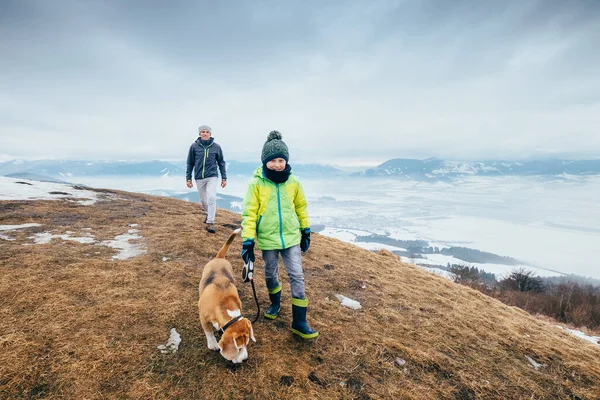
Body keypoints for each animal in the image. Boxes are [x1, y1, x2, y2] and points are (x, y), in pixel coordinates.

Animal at [199, 228, 255, 362]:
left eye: (247, 344)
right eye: (238, 348)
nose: (245, 360)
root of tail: (219, 258)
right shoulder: (203, 318)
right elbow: (208, 331)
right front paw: (212, 344)